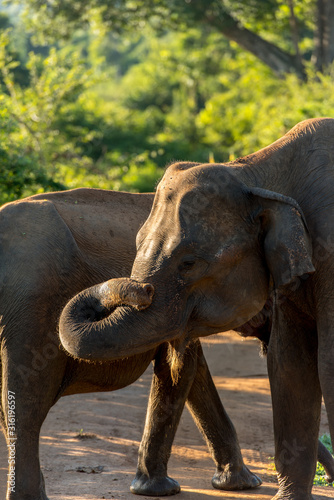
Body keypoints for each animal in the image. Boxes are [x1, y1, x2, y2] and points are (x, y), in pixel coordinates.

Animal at [0, 188, 264, 500]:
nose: (145, 289)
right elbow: (181, 370)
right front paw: (161, 490)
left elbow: (189, 368)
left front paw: (244, 484)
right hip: (32, 304)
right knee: (27, 401)